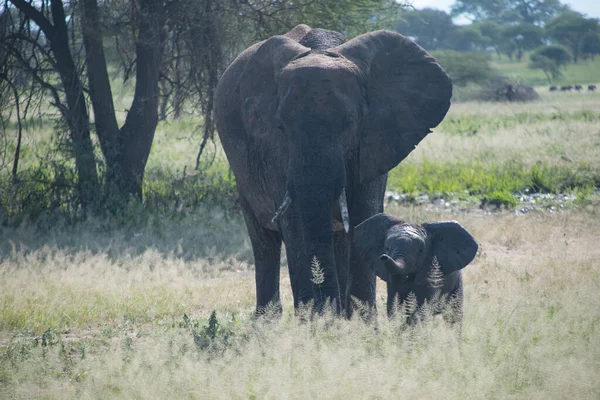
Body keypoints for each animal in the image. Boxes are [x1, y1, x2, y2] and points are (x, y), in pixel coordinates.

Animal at [213, 25, 452, 316]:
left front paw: (358, 322)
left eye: (349, 123)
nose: (326, 310)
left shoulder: (375, 141)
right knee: (265, 242)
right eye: (281, 127)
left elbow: (364, 216)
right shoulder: (273, 151)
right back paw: (269, 321)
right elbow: (295, 222)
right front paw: (315, 320)